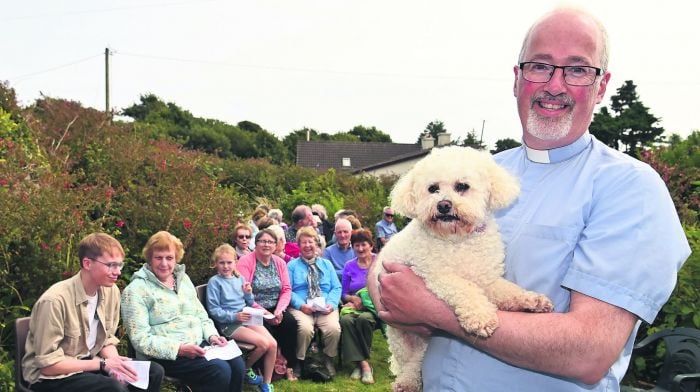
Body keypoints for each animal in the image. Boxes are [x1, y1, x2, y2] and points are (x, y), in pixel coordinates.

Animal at [370, 145, 556, 390]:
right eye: (433, 189)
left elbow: (508, 291)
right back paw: (407, 382)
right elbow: (465, 288)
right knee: (410, 363)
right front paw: (480, 318)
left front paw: (531, 300)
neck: (459, 240)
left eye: (462, 186)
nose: (443, 205)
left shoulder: (487, 279)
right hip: (400, 338)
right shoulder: (437, 275)